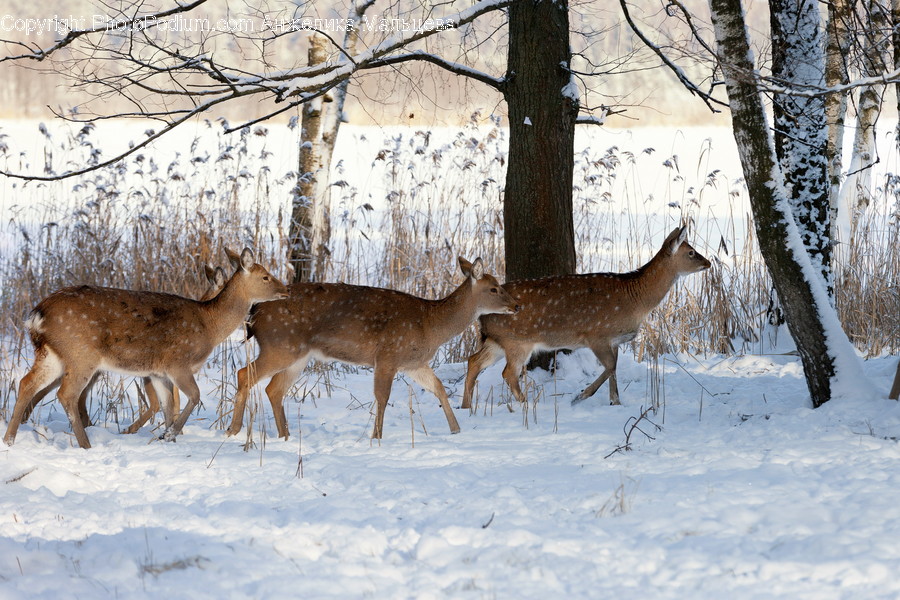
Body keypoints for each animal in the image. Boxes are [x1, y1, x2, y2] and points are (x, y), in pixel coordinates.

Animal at [3, 248, 288, 449]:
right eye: (265, 276)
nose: (285, 290)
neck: (209, 324)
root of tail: (37, 315)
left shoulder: (158, 372)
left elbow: (167, 406)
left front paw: (168, 437)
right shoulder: (178, 363)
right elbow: (194, 396)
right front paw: (170, 434)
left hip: (52, 353)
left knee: (26, 383)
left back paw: (9, 439)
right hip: (81, 354)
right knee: (66, 394)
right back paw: (85, 444)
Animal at [225, 257, 520, 440]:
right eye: (494, 288)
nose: (517, 306)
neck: (431, 324)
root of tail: (255, 312)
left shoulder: (413, 363)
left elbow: (438, 387)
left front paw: (456, 429)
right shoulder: (388, 354)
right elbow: (382, 396)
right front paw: (376, 436)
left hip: (297, 354)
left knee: (273, 389)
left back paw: (284, 435)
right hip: (280, 345)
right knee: (244, 374)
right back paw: (234, 430)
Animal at [461, 226, 710, 410]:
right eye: (691, 252)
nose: (708, 262)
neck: (635, 300)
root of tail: (481, 316)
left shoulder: (614, 340)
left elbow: (614, 369)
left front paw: (615, 402)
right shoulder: (597, 334)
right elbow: (610, 367)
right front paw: (580, 396)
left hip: (498, 340)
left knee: (473, 361)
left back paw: (466, 406)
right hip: (518, 341)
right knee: (508, 373)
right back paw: (526, 405)